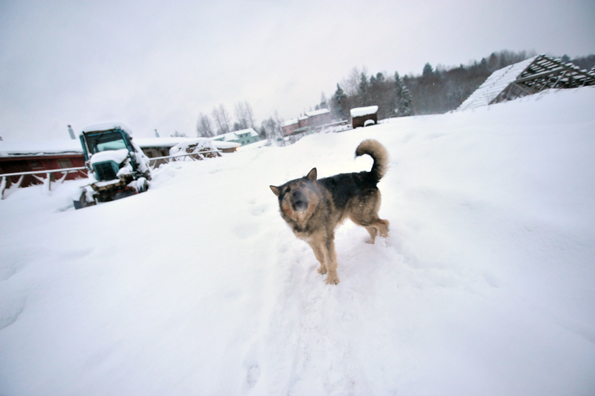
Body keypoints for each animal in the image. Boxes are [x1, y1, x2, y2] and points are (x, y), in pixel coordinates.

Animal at [272, 139, 392, 284]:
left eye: (303, 186)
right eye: (287, 190)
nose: (296, 193)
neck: (307, 216)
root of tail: (367, 175)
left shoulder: (326, 239)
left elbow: (329, 260)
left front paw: (332, 280)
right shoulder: (312, 241)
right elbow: (319, 257)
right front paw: (323, 270)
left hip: (361, 216)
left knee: (383, 223)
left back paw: (385, 242)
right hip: (359, 218)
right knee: (374, 228)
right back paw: (373, 245)